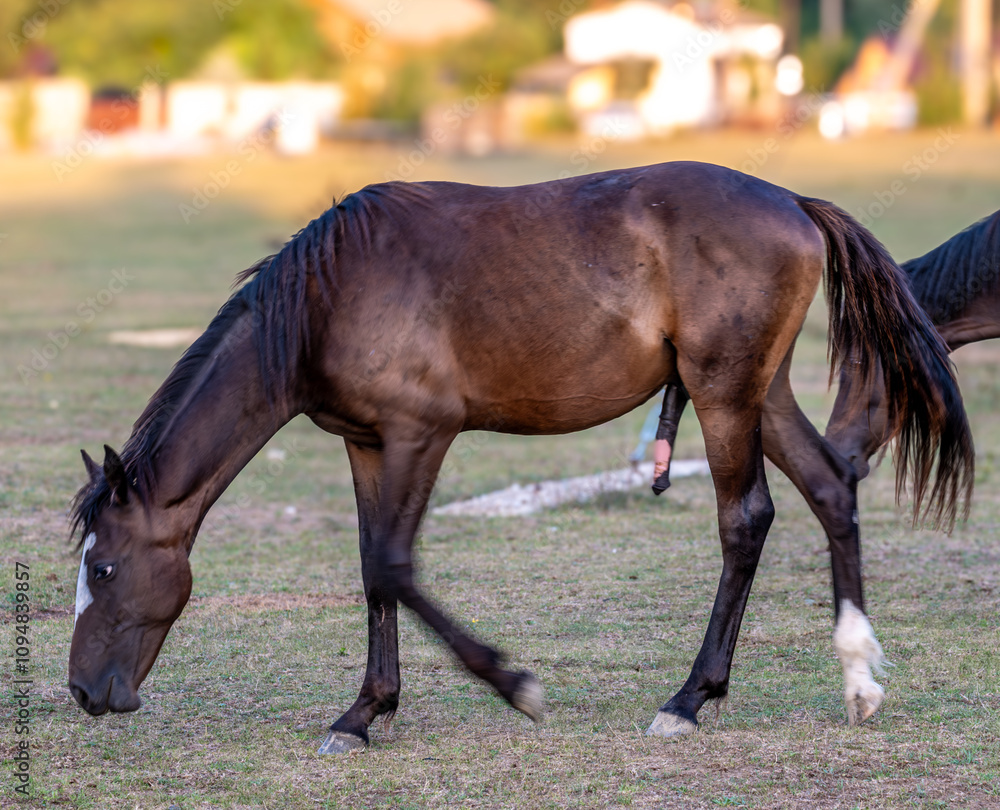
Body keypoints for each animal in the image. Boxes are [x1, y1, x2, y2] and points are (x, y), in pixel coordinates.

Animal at [68, 162, 974, 755]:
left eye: (103, 569)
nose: (81, 692)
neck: (328, 296)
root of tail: (791, 199)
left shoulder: (420, 435)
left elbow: (393, 565)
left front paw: (514, 686)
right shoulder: (367, 444)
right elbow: (370, 570)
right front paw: (365, 712)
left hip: (723, 398)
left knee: (746, 520)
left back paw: (691, 698)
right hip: (759, 393)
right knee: (831, 488)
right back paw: (857, 680)